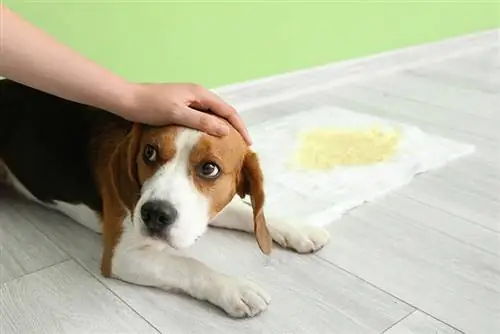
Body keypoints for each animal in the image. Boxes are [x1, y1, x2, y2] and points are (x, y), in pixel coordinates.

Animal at [0, 79, 330, 318]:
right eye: (149, 152)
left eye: (209, 168)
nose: (154, 214)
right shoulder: (121, 256)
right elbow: (189, 265)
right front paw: (234, 288)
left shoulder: (203, 211)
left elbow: (248, 211)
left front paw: (298, 229)